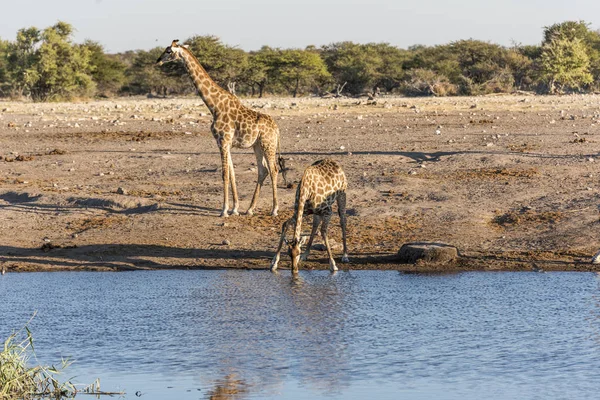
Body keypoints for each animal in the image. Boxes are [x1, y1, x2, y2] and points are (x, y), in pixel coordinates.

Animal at [157, 39, 284, 217]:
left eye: (168, 51)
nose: (158, 61)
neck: (214, 106)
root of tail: (277, 129)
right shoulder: (226, 143)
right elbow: (232, 173)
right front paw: (235, 208)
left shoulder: (222, 141)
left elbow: (224, 174)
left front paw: (224, 210)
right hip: (257, 145)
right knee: (263, 170)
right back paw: (250, 209)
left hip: (268, 144)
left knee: (273, 170)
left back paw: (274, 209)